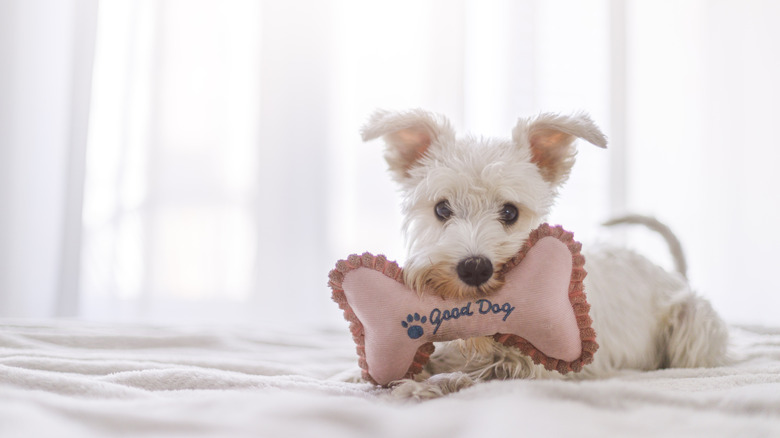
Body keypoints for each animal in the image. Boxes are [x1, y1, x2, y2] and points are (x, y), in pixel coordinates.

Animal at [362, 108, 732, 398]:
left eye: (510, 212)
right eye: (441, 208)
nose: (474, 268)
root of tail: (673, 275)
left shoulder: (537, 364)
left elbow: (487, 372)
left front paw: (428, 384)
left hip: (692, 324)